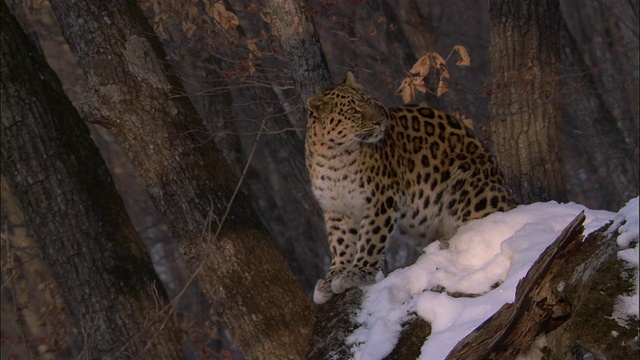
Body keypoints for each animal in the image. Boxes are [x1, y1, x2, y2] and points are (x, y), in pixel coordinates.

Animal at [304, 71, 516, 304]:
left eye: (368, 101)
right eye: (352, 111)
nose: (379, 122)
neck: (333, 154)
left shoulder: (381, 196)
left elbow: (372, 237)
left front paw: (359, 273)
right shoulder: (336, 207)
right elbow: (341, 243)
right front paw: (332, 277)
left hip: (465, 184)